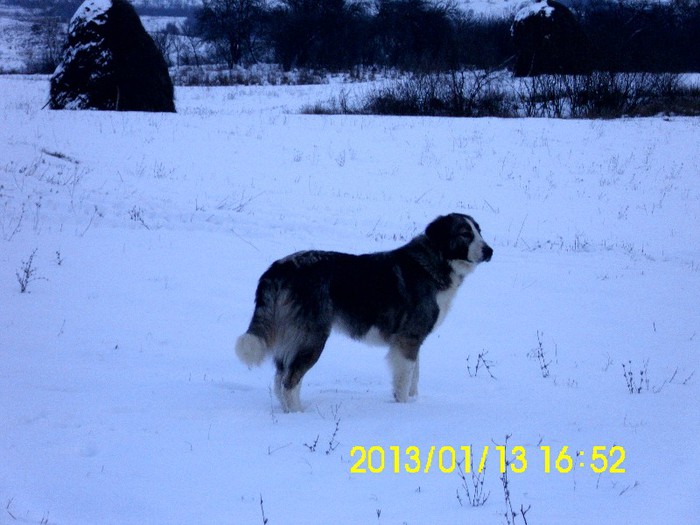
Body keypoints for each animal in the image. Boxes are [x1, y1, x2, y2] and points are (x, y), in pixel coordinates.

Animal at [235, 212, 492, 410]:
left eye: (479, 231)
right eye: (465, 234)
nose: (489, 251)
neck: (436, 260)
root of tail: (279, 267)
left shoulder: (412, 339)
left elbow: (414, 378)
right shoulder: (408, 339)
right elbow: (405, 379)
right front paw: (405, 410)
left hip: (291, 337)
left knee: (279, 380)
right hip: (311, 338)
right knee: (289, 382)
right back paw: (299, 414)